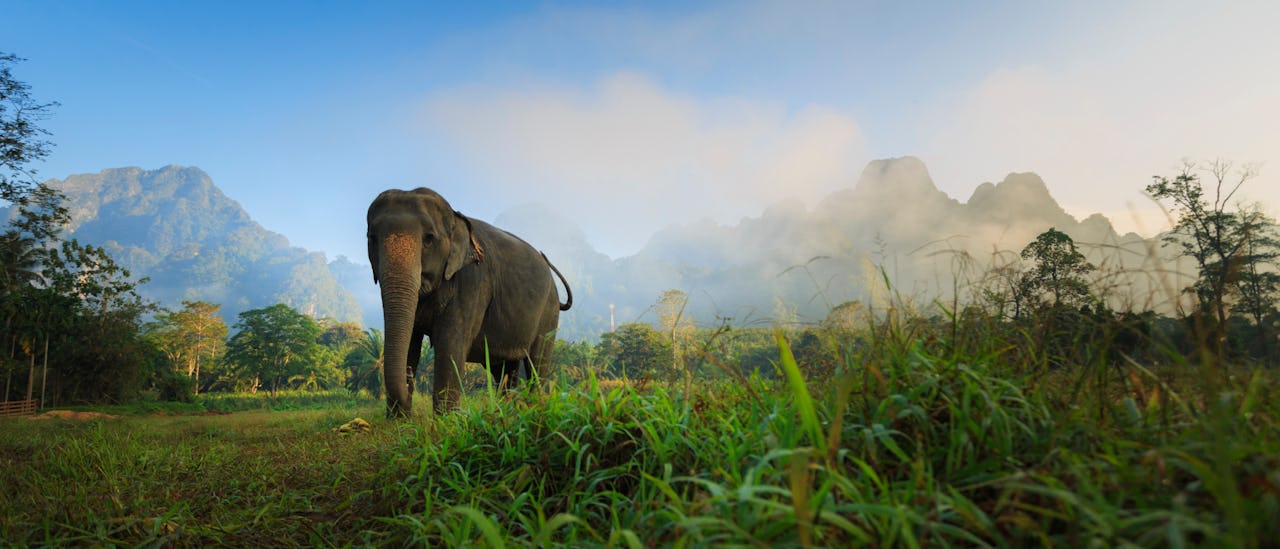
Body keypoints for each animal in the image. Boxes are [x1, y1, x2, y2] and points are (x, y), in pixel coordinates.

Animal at [367, 188, 572, 417]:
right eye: (372, 238)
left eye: (429, 239)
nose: (409, 374)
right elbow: (411, 341)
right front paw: (398, 421)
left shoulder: (473, 283)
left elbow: (450, 346)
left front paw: (445, 421)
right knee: (504, 370)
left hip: (549, 313)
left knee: (537, 363)